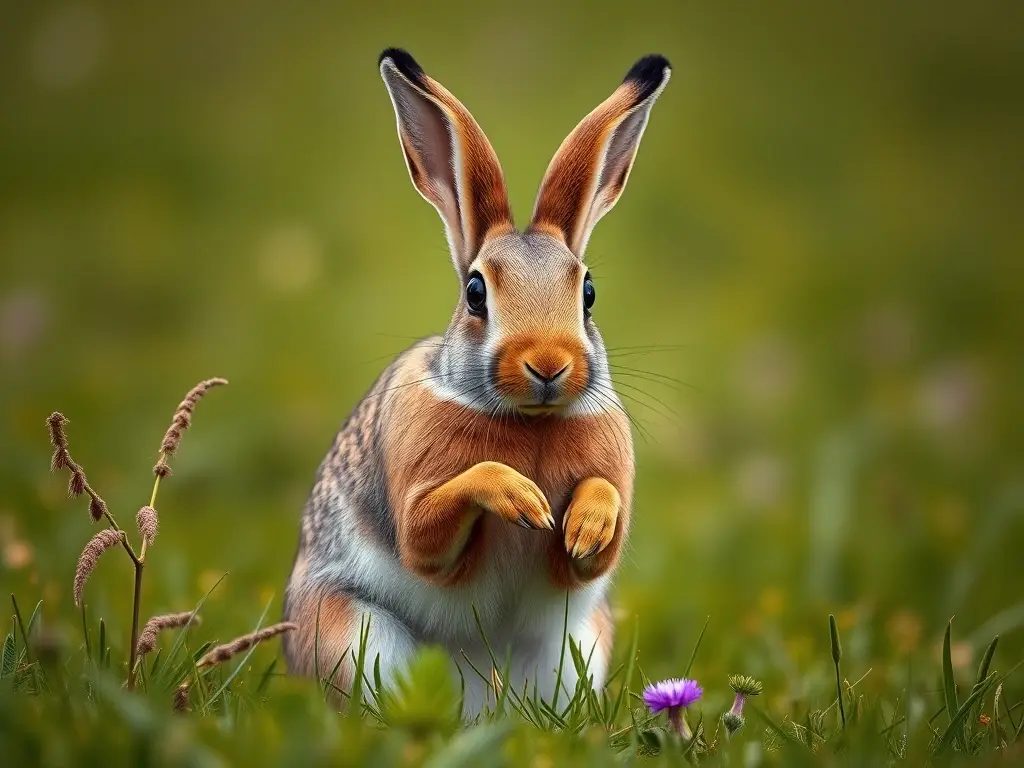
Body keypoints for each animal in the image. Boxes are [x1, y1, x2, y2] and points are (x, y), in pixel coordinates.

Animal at [282, 48, 670, 714]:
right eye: (475, 293)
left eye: (589, 293)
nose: (548, 364)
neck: (529, 421)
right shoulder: (418, 503)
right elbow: (428, 528)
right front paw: (522, 499)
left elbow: (596, 539)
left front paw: (583, 526)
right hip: (351, 629)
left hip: (578, 643)